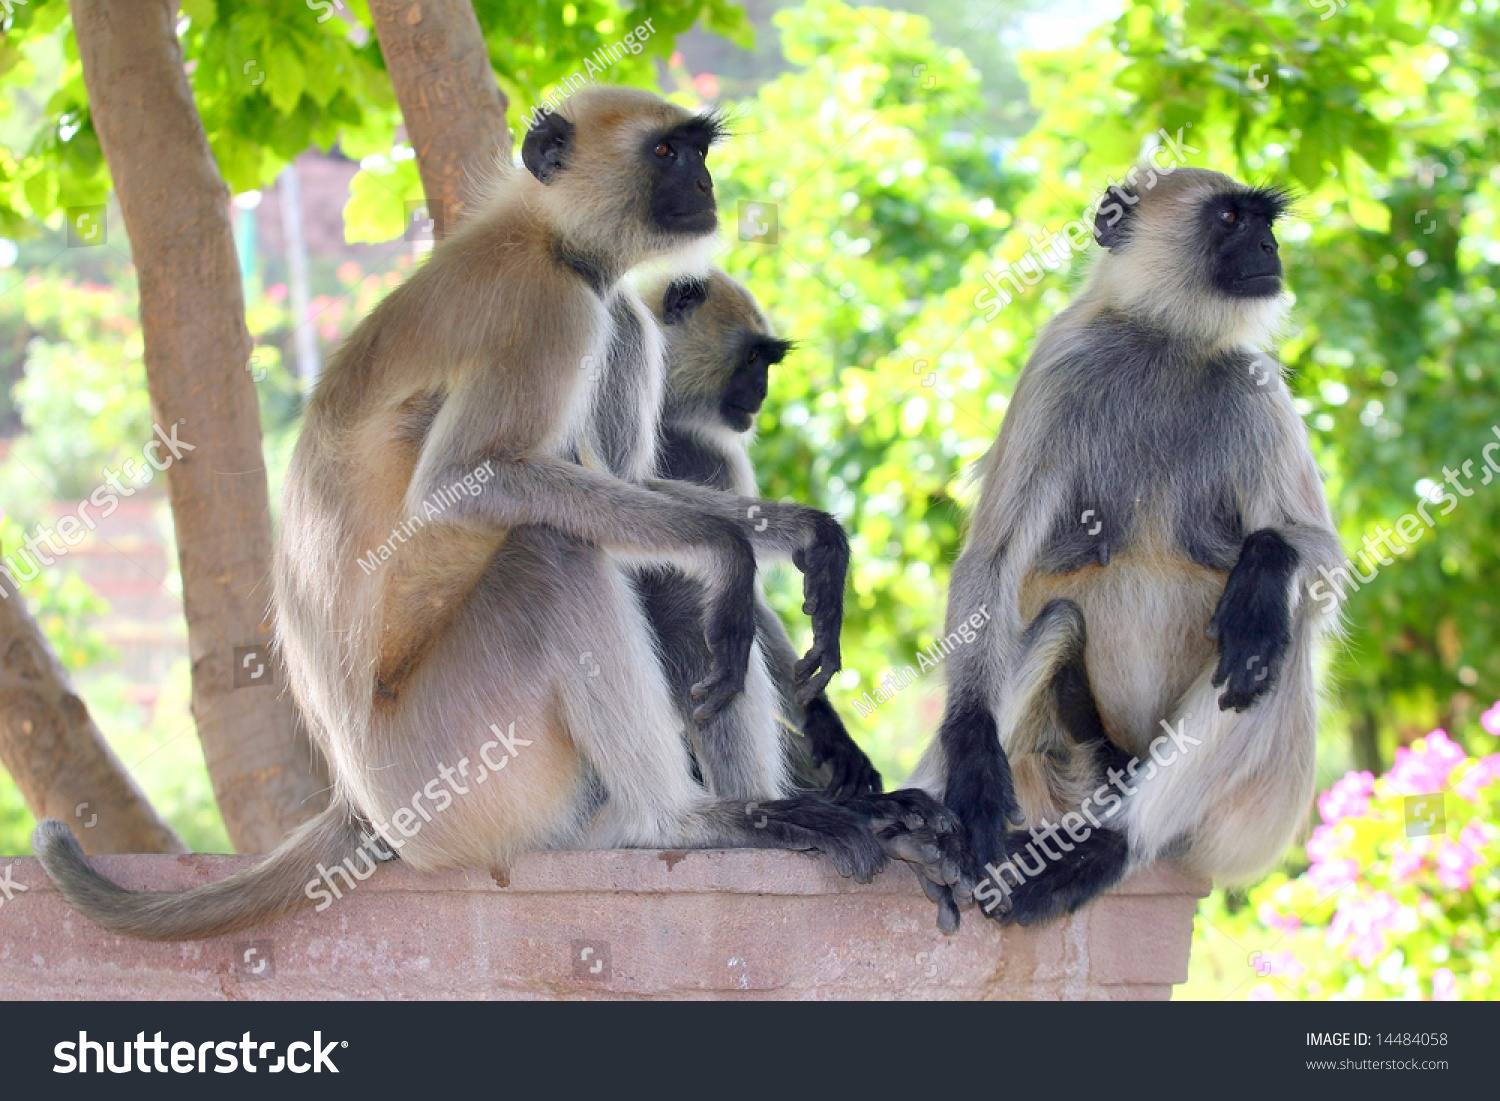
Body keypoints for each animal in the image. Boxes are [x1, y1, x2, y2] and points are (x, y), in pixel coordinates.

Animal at [631, 268, 883, 803]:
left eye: (766, 363)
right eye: (750, 359)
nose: (762, 392)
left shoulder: (718, 454)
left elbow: (745, 591)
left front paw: (827, 731)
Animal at [889, 166, 1344, 931]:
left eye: (1262, 222)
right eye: (1230, 218)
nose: (1270, 247)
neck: (1166, 341)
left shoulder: (1255, 388)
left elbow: (1326, 567)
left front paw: (1265, 564)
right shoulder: (1058, 366)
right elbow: (993, 558)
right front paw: (972, 764)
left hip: (1254, 821)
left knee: (1274, 631)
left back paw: (1109, 847)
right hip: (1056, 769)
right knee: (1058, 623)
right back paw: (939, 834)